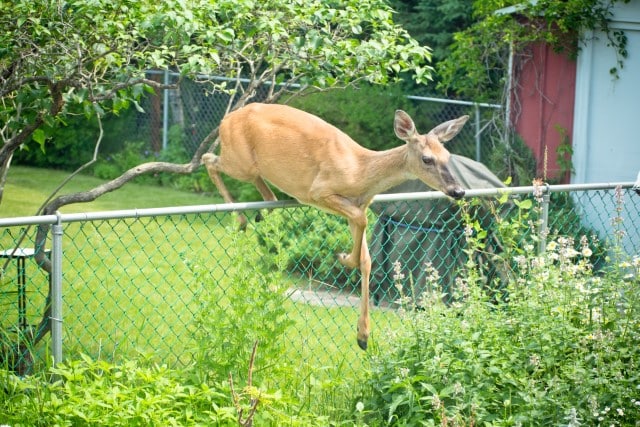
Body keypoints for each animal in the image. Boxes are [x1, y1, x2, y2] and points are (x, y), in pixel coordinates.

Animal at [202, 103, 468, 352]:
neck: (361, 173)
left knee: (263, 191)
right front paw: (343, 257)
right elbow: (363, 222)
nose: (458, 190)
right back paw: (241, 219)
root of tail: (227, 119)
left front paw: (363, 336)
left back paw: (262, 212)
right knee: (208, 159)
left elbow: (367, 259)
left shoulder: (355, 205)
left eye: (448, 156)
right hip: (241, 162)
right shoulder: (319, 191)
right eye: (427, 159)